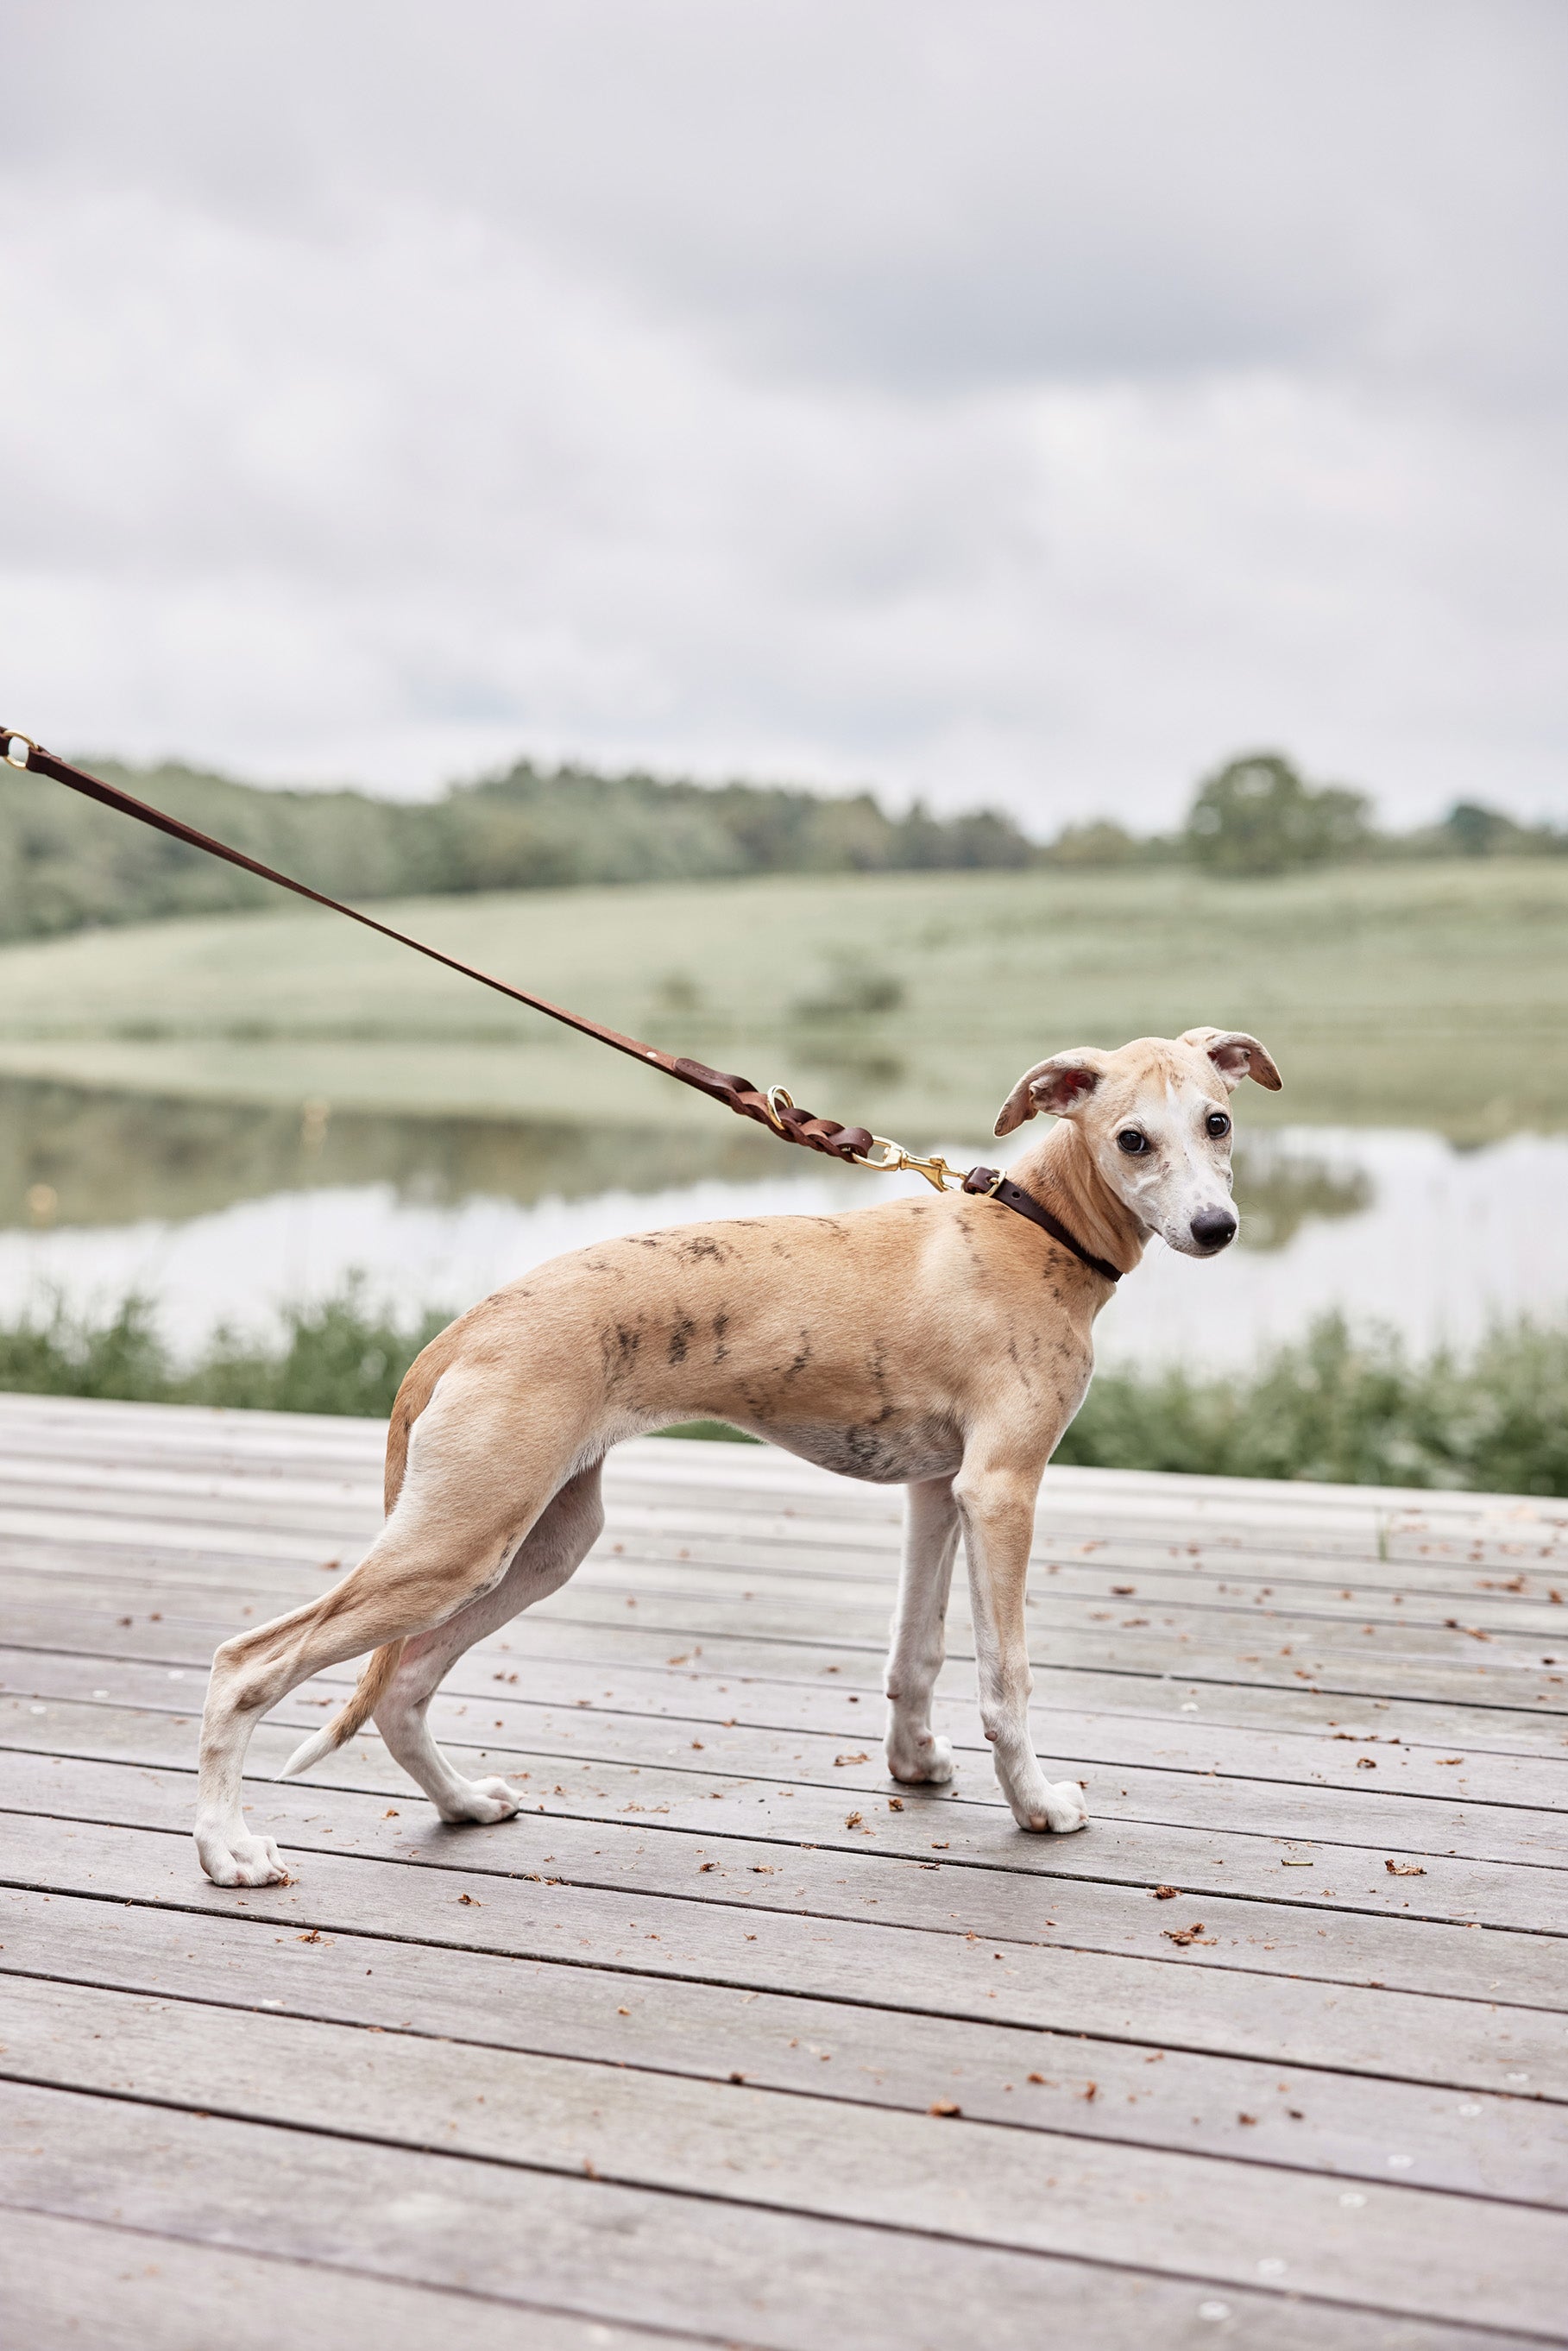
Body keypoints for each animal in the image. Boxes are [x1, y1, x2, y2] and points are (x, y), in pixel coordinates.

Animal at [192, 1030, 1278, 1890]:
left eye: (1218, 1122)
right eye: (1132, 1138)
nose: (1214, 1230)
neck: (1033, 1225)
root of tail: (460, 1332)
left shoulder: (940, 1492)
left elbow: (913, 1653)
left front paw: (914, 1764)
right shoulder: (1001, 1490)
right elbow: (1003, 1679)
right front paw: (1037, 1806)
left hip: (538, 1545)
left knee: (404, 1687)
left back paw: (462, 1803)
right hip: (455, 1546)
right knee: (248, 1663)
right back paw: (227, 1852)